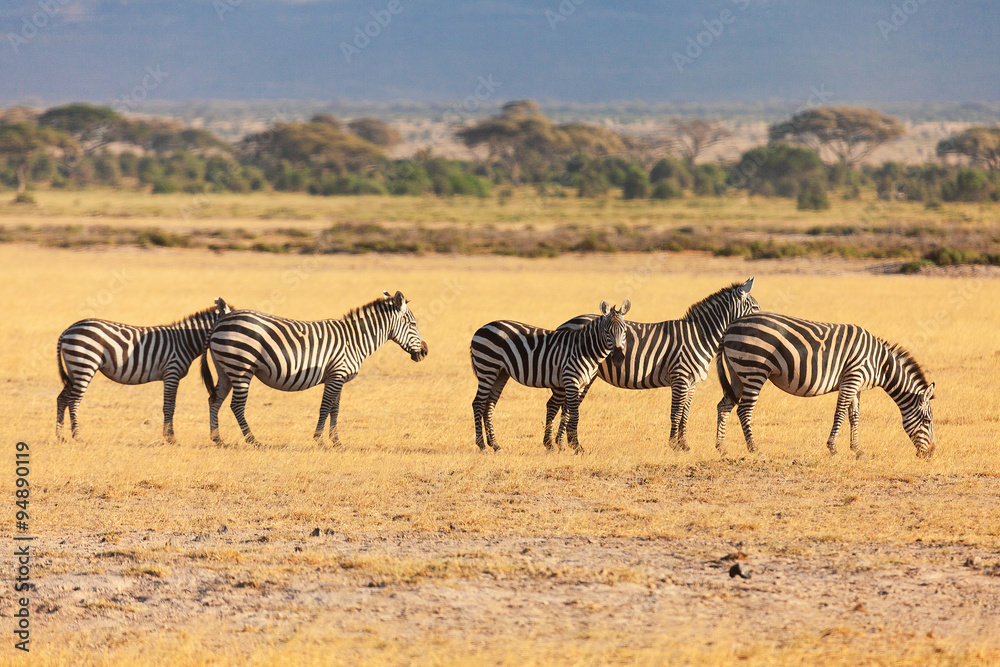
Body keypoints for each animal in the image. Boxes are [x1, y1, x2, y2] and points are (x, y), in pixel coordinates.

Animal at [56, 297, 233, 443]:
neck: (185, 341)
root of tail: (67, 330)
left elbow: (168, 405)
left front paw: (169, 435)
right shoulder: (172, 372)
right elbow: (169, 405)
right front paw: (170, 437)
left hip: (74, 369)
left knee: (62, 398)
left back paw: (60, 436)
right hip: (84, 365)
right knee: (73, 400)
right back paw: (77, 436)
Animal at [201, 290, 427, 446]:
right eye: (413, 324)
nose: (425, 351)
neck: (354, 340)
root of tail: (221, 320)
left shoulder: (338, 377)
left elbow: (335, 408)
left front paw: (336, 441)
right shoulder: (337, 374)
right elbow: (325, 406)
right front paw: (319, 439)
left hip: (225, 369)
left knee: (215, 399)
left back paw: (217, 439)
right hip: (241, 367)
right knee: (236, 405)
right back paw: (253, 440)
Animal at [469, 299, 630, 453]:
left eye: (624, 331)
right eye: (607, 331)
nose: (618, 358)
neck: (585, 349)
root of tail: (482, 328)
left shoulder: (580, 384)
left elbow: (568, 413)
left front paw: (567, 444)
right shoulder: (571, 379)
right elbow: (575, 413)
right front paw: (577, 446)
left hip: (500, 373)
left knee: (489, 405)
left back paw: (496, 445)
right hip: (487, 367)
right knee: (478, 403)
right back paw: (482, 445)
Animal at [548, 278, 759, 451]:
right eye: (756, 308)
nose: (761, 323)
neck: (699, 336)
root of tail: (565, 324)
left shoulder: (692, 383)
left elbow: (685, 414)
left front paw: (684, 445)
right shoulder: (680, 377)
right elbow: (676, 413)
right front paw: (673, 445)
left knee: (564, 405)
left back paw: (561, 444)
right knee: (563, 405)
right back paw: (560, 444)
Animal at [714, 312, 936, 458]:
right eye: (927, 421)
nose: (932, 453)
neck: (880, 364)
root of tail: (730, 327)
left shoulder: (856, 385)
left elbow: (854, 417)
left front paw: (858, 450)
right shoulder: (852, 378)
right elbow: (840, 413)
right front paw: (833, 448)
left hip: (738, 372)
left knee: (724, 405)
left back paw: (721, 447)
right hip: (754, 370)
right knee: (744, 410)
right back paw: (754, 449)